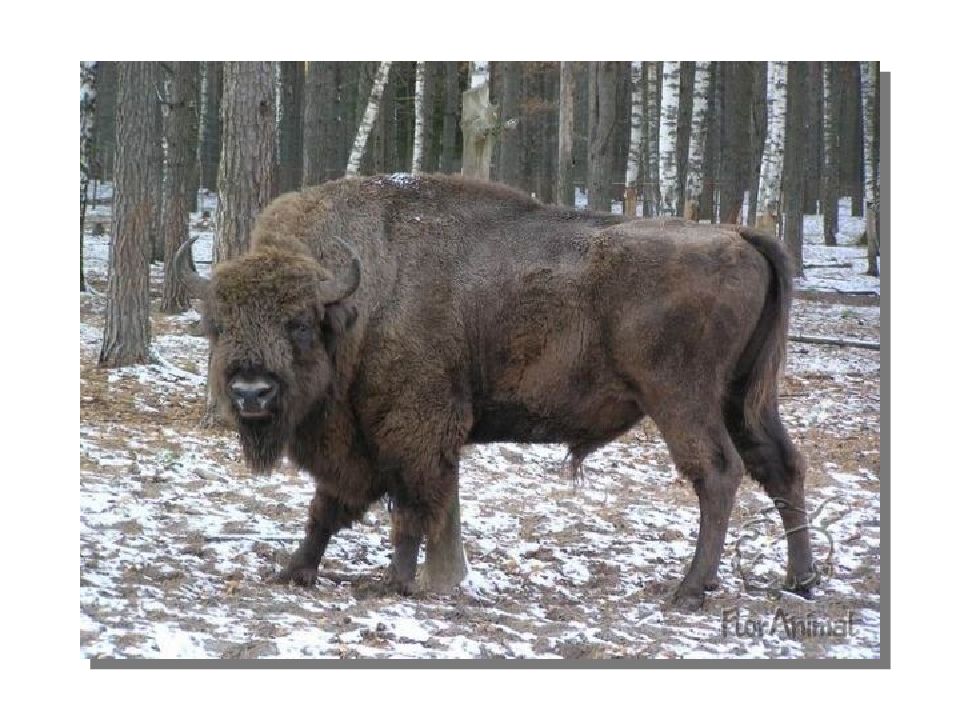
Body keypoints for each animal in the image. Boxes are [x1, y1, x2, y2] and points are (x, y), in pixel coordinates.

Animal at [186, 173, 816, 608]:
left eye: (298, 323)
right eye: (218, 324)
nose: (250, 393)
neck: (359, 304)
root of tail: (740, 235)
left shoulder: (412, 429)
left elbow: (407, 505)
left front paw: (395, 582)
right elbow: (328, 509)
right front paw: (293, 571)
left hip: (682, 399)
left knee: (718, 473)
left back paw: (689, 588)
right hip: (745, 397)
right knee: (780, 466)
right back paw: (799, 581)